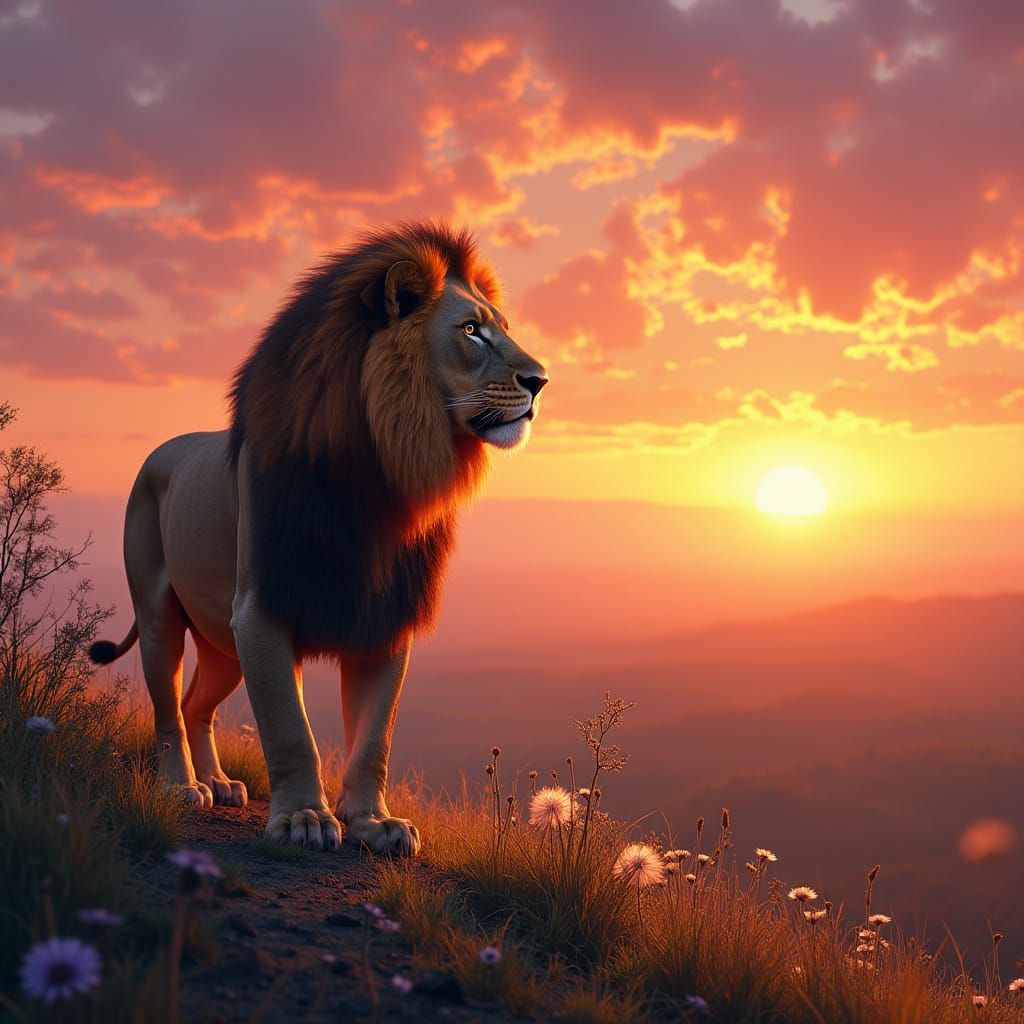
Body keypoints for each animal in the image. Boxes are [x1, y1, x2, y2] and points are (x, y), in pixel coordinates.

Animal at [89, 221, 548, 855]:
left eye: (501, 326)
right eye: (471, 331)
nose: (541, 381)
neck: (380, 477)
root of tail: (163, 449)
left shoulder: (385, 615)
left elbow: (375, 738)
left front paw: (374, 823)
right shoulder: (262, 611)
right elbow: (290, 729)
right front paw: (303, 819)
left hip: (222, 644)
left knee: (195, 704)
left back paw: (220, 783)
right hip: (161, 615)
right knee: (167, 708)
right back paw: (183, 787)